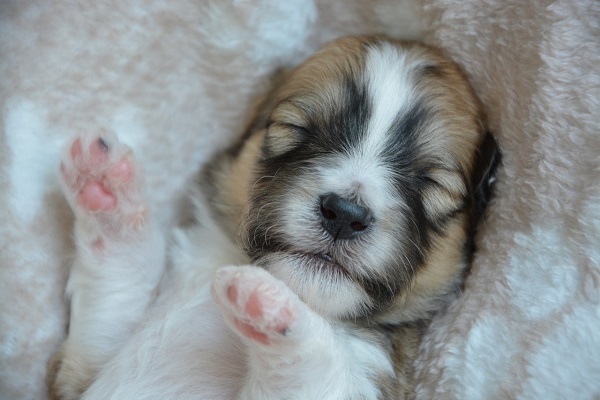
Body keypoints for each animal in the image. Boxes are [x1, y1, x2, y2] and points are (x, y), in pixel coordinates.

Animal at [49, 36, 496, 398]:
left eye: (431, 184)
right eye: (294, 129)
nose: (344, 214)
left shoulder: (368, 374)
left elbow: (313, 369)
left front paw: (267, 302)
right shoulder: (80, 373)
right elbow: (117, 289)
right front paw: (106, 190)